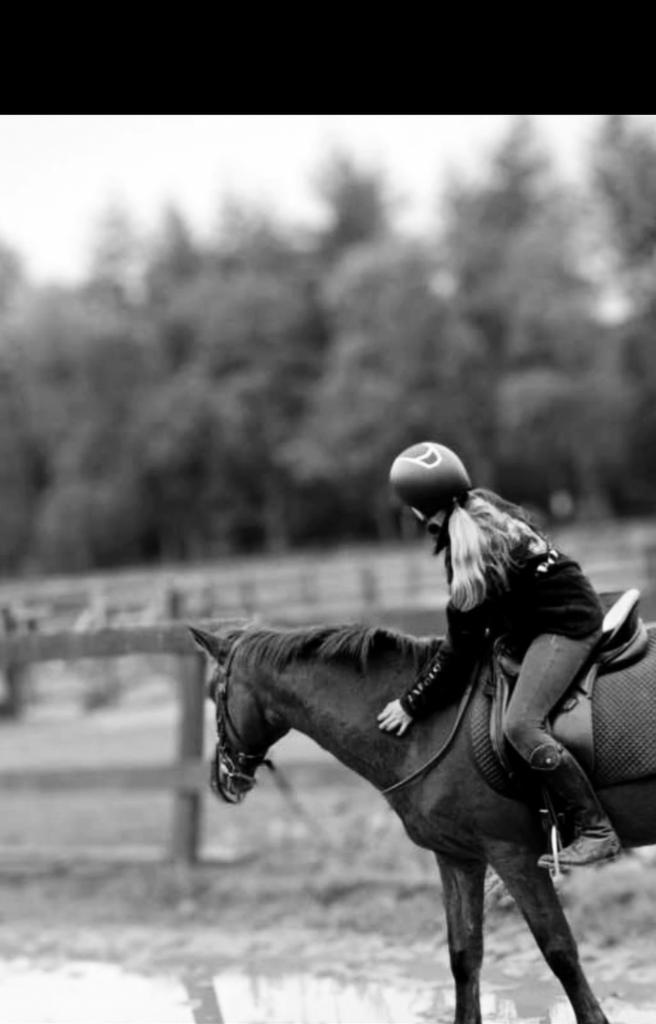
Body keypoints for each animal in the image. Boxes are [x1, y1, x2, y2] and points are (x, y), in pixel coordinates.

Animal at [189, 617, 656, 1024]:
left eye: (214, 693)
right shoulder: (458, 858)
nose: (221, 779)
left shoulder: (515, 856)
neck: (429, 725)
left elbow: (559, 951)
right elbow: (465, 956)